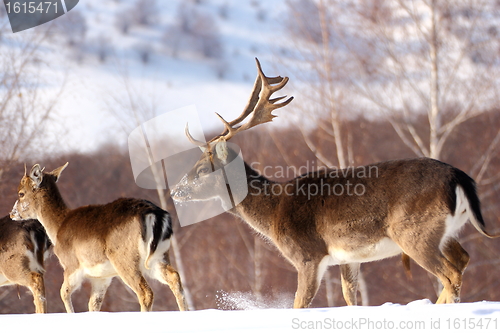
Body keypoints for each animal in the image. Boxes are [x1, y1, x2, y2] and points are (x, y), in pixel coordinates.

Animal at [11, 165, 188, 312]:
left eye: (21, 193)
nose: (12, 213)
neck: (57, 228)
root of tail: (154, 214)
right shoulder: (102, 277)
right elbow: (93, 304)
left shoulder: (71, 265)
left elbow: (64, 293)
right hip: (159, 256)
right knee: (174, 277)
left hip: (125, 259)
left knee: (145, 292)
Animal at [170, 58, 498, 308]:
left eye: (202, 169)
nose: (175, 191)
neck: (273, 211)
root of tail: (460, 178)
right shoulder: (348, 257)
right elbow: (349, 297)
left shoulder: (308, 254)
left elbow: (299, 304)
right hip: (447, 230)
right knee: (462, 259)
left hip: (415, 231)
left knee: (450, 274)